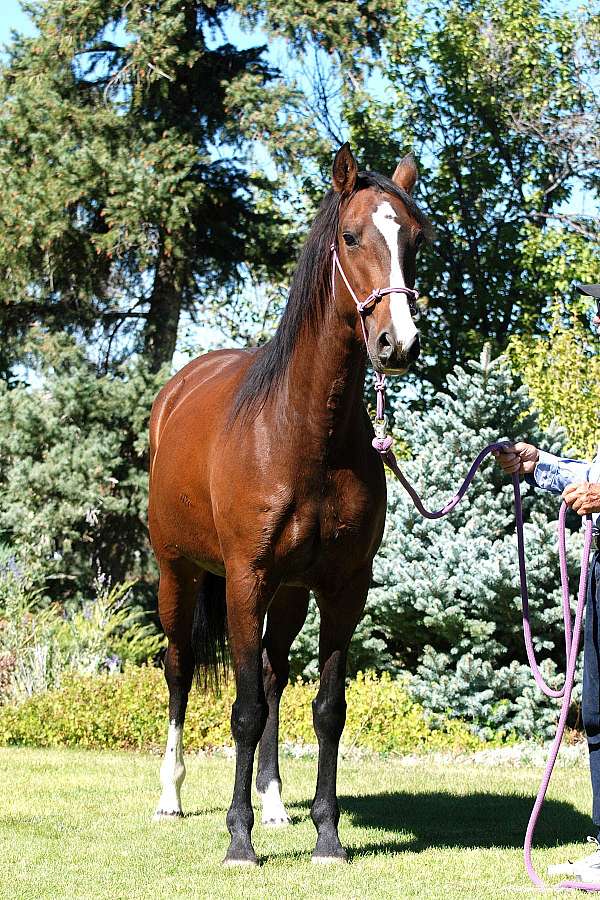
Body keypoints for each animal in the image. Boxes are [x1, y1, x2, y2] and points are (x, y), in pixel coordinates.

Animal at [148, 142, 430, 866]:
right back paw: (172, 796)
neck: (306, 432)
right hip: (177, 575)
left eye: (415, 239)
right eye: (352, 236)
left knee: (274, 677)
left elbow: (326, 708)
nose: (398, 343)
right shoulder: (246, 579)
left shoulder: (342, 587)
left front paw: (327, 836)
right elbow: (243, 710)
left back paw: (276, 806)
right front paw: (238, 841)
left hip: (290, 596)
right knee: (180, 671)